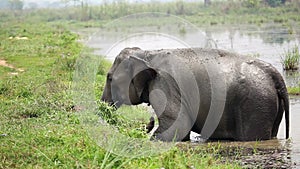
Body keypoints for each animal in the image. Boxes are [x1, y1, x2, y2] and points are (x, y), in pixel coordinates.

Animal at [101, 46, 290, 142]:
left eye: (109, 78)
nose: (150, 120)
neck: (148, 53)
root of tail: (274, 73)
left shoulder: (165, 84)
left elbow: (178, 124)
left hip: (254, 104)